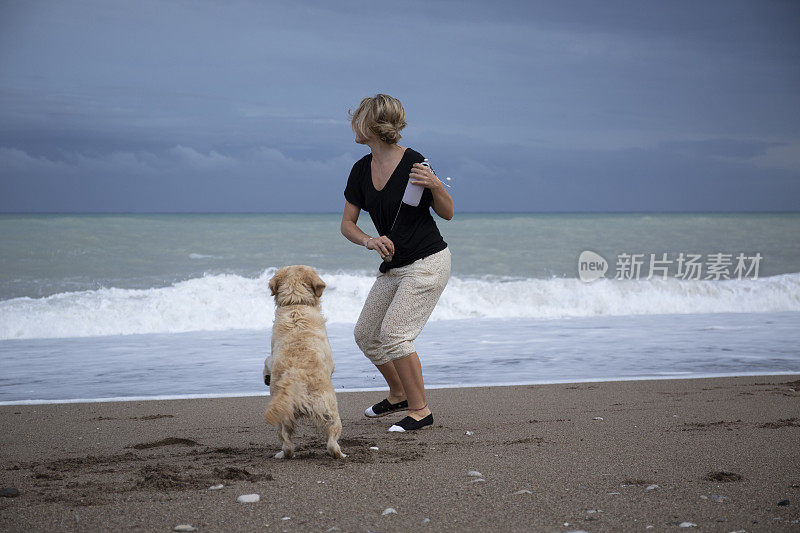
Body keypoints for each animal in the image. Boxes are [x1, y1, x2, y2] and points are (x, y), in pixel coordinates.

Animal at [262, 264, 344, 458]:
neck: (295, 303)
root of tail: (296, 375)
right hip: (331, 410)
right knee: (332, 440)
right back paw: (340, 454)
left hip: (285, 416)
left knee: (287, 442)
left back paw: (283, 453)